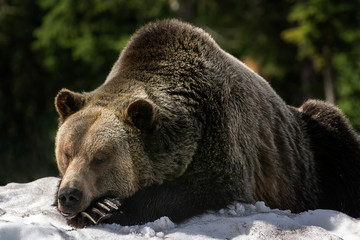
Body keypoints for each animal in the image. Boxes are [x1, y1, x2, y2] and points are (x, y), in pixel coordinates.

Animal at [53, 19, 360, 227]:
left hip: (309, 154)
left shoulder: (218, 137)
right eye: (66, 153)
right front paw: (93, 208)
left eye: (101, 157)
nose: (70, 195)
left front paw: (104, 210)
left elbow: (201, 189)